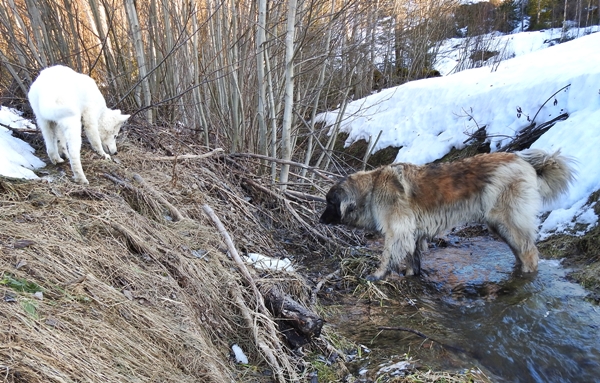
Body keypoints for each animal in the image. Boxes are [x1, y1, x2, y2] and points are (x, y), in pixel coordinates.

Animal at [322, 150, 576, 282]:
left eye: (329, 203)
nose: (320, 219)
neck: (371, 189)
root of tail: (524, 163)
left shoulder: (398, 230)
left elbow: (387, 255)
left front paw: (377, 275)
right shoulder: (411, 232)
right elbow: (412, 256)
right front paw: (412, 273)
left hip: (508, 220)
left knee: (529, 253)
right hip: (500, 225)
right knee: (521, 250)